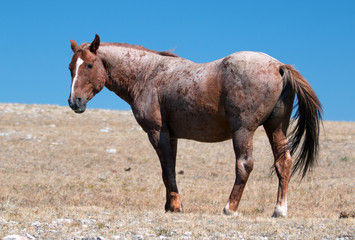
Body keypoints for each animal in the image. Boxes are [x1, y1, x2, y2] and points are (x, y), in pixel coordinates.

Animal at [68, 34, 324, 218]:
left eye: (89, 65)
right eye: (71, 67)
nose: (74, 101)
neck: (147, 74)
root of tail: (279, 66)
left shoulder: (157, 133)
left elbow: (167, 170)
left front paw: (174, 206)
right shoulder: (171, 136)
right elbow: (169, 170)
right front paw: (171, 204)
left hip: (243, 130)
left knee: (244, 165)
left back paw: (230, 208)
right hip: (276, 127)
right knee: (283, 162)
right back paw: (279, 210)